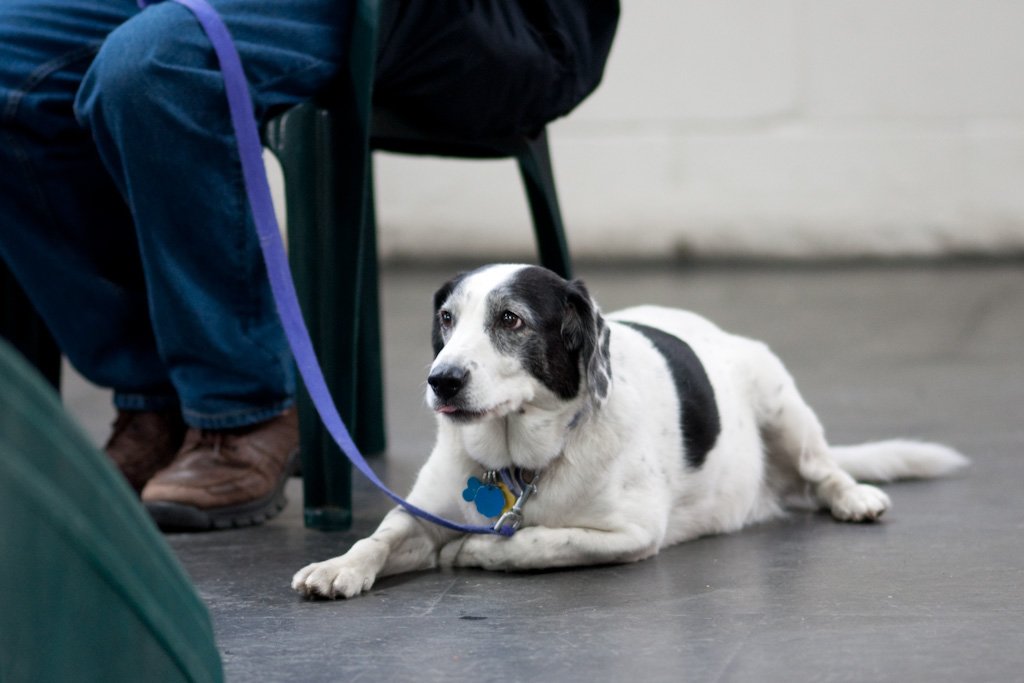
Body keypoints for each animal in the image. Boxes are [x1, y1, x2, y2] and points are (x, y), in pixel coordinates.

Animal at [292, 264, 967, 599]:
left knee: (825, 468)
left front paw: (474, 552)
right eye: (446, 319)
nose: (442, 381)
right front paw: (339, 566)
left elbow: (533, 544)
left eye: (510, 319)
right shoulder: (422, 513)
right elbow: (379, 538)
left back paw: (853, 496)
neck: (520, 463)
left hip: (783, 403)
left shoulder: (630, 532)